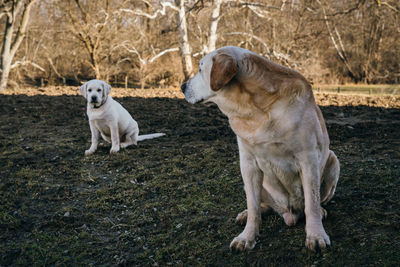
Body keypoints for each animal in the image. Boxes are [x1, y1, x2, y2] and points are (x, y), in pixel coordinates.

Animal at [182, 47, 340, 252]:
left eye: (201, 69)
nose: (182, 86)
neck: (256, 110)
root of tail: (289, 214)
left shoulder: (308, 159)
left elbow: (311, 202)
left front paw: (316, 235)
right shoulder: (248, 165)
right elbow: (254, 205)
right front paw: (247, 236)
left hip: (333, 161)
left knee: (315, 201)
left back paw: (321, 211)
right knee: (261, 205)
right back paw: (245, 214)